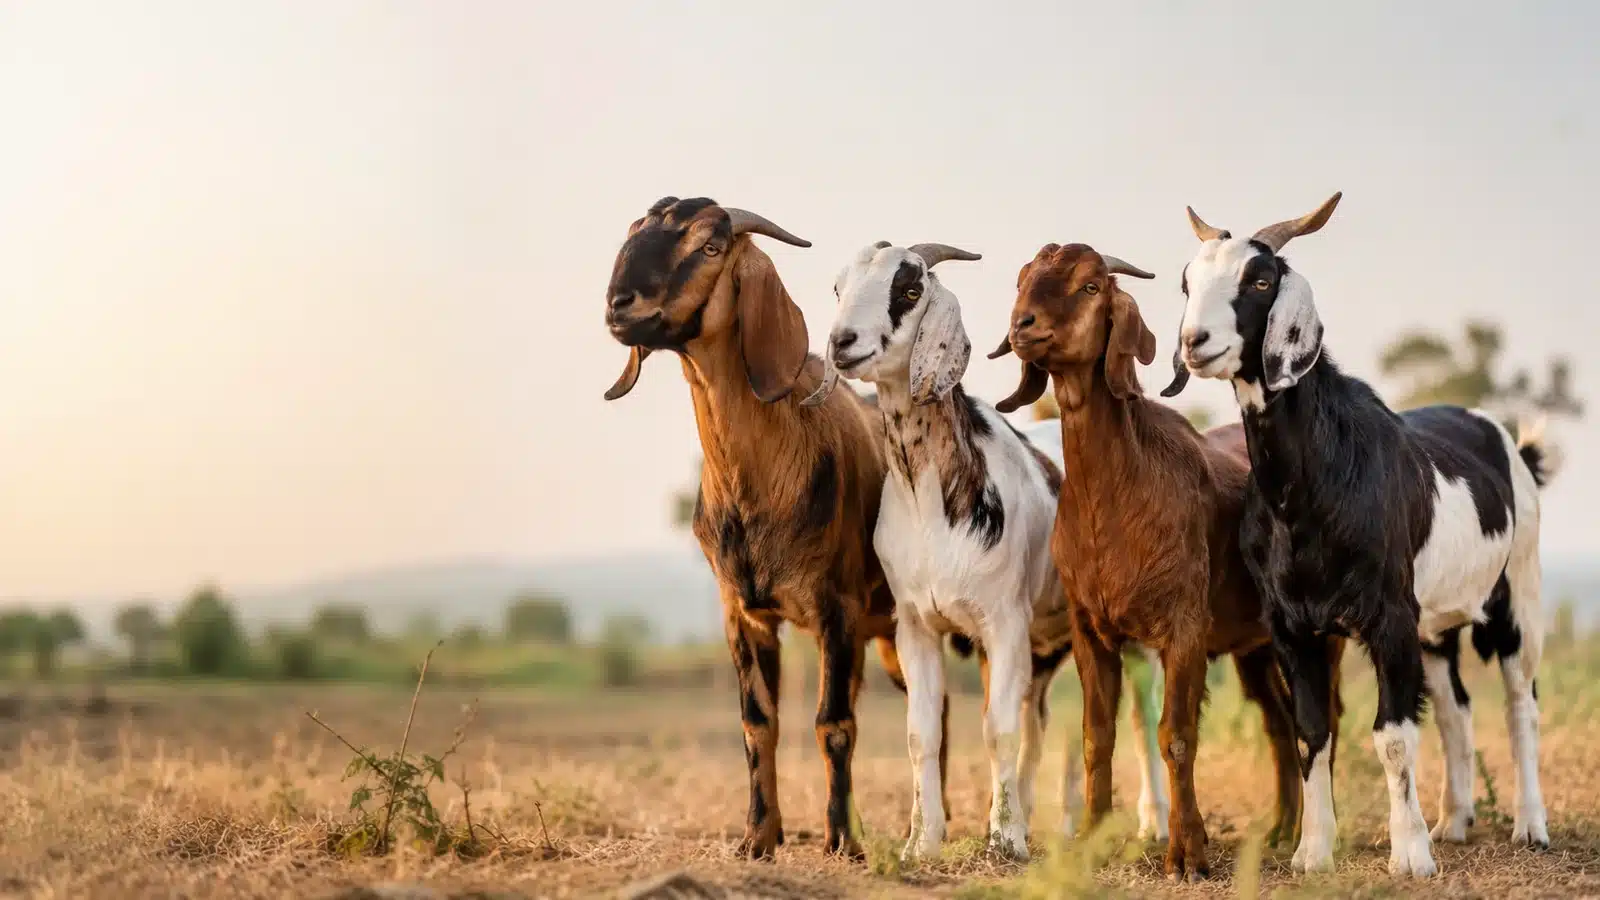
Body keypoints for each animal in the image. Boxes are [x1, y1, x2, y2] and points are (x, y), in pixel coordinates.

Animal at [603, 197, 953, 861]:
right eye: (636, 231)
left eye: (711, 245)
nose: (619, 304)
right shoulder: (744, 612)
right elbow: (757, 721)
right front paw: (757, 837)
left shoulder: (837, 610)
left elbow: (833, 723)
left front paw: (842, 840)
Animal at [801, 241, 1169, 860]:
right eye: (837, 287)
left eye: (910, 289)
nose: (842, 342)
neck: (933, 502)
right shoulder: (917, 626)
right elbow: (923, 733)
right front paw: (923, 843)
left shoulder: (1003, 623)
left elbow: (998, 730)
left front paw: (1004, 843)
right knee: (1037, 720)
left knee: (1143, 719)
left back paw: (1154, 826)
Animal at [990, 242, 1330, 881]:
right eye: (1023, 280)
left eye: (1091, 285)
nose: (1023, 325)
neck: (1122, 488)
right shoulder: (1090, 629)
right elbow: (1097, 734)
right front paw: (1092, 838)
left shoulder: (1184, 628)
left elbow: (1177, 734)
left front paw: (1187, 853)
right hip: (1255, 647)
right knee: (1277, 721)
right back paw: (1280, 830)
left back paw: (1314, 838)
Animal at [1163, 192, 1560, 877]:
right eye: (1188, 282)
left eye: (1259, 280)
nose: (1195, 342)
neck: (1311, 489)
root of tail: (1510, 444)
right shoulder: (1292, 627)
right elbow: (1313, 732)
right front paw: (1311, 853)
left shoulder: (1388, 617)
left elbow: (1392, 735)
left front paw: (1410, 857)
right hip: (1436, 626)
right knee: (1455, 708)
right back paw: (1455, 821)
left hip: (1517, 597)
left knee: (1520, 704)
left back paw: (1529, 826)